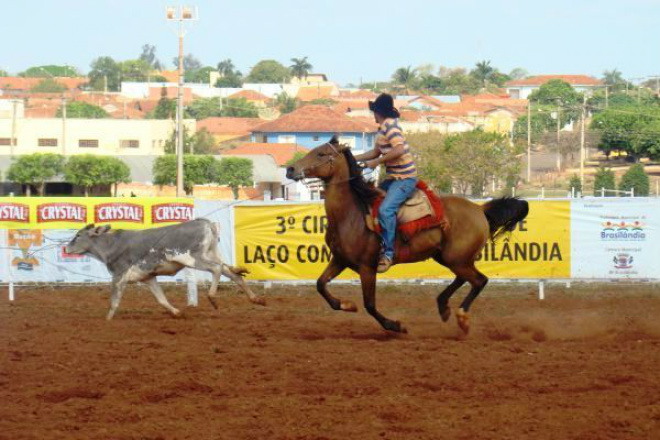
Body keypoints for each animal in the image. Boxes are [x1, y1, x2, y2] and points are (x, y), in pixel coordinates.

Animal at [65, 219, 264, 320]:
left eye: (78, 235)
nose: (66, 248)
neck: (112, 245)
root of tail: (206, 223)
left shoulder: (119, 276)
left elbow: (114, 301)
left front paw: (107, 321)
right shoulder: (148, 277)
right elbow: (161, 299)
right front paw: (176, 312)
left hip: (193, 258)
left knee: (216, 269)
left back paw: (213, 298)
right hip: (210, 254)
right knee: (231, 273)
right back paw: (256, 299)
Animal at [286, 138, 528, 334]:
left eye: (320, 153)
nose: (290, 168)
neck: (351, 214)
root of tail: (479, 209)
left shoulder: (367, 267)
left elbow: (370, 305)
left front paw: (396, 325)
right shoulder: (340, 260)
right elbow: (320, 285)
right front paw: (346, 305)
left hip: (457, 259)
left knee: (479, 280)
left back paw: (462, 318)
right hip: (450, 258)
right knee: (465, 278)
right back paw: (443, 306)